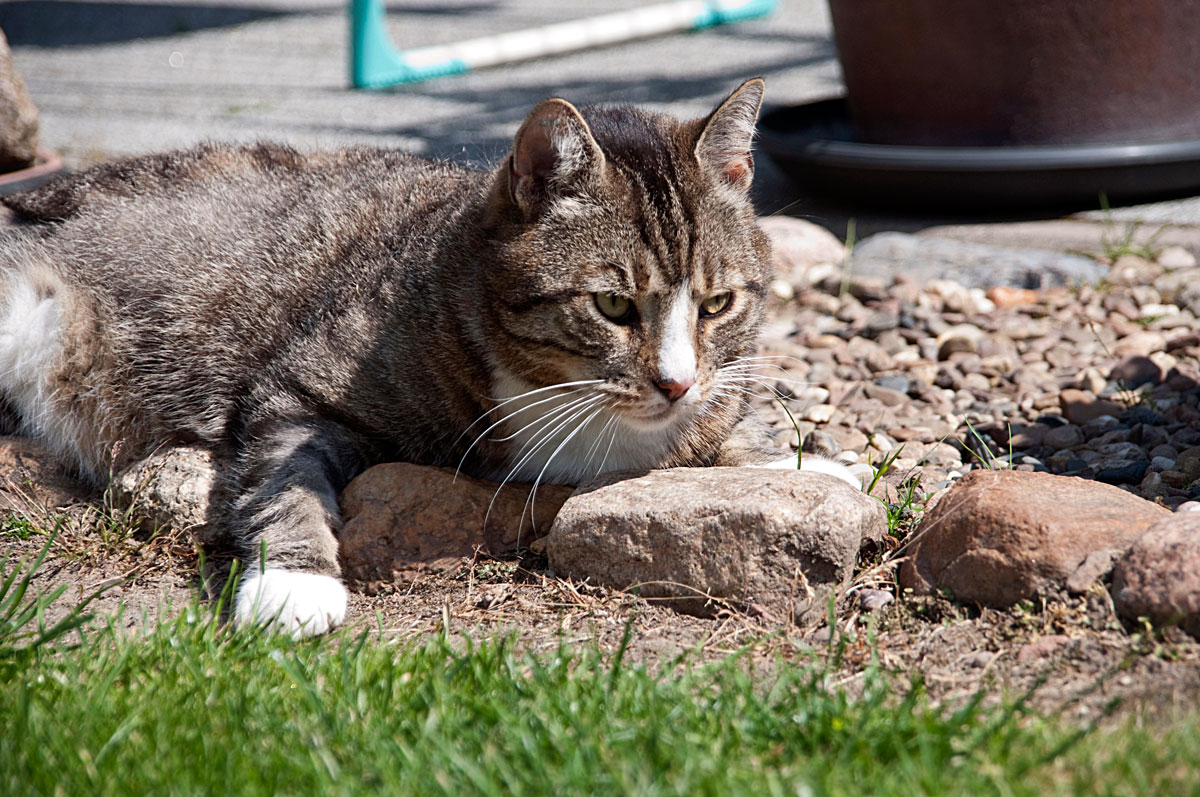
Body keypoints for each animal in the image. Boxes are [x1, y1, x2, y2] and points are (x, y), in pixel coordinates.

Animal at [0, 78, 854, 638]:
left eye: (717, 304)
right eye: (613, 306)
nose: (675, 381)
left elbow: (724, 420)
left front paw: (804, 461)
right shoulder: (296, 388)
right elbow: (283, 478)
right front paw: (293, 583)